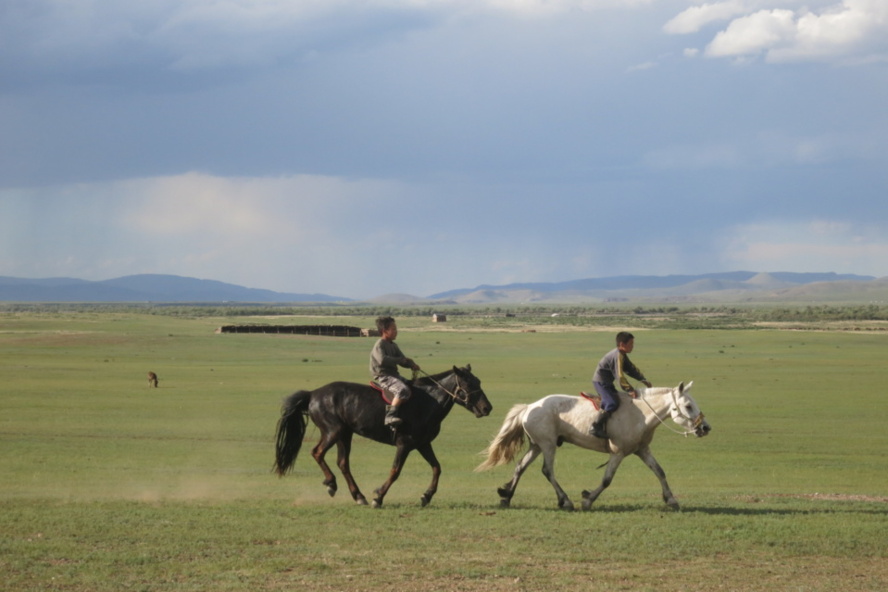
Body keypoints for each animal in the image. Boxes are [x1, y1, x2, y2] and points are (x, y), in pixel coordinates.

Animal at [274, 366, 492, 508]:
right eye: (467, 383)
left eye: (479, 381)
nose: (487, 408)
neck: (427, 402)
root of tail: (313, 394)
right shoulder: (404, 444)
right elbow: (395, 471)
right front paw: (378, 497)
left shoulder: (423, 444)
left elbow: (437, 468)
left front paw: (426, 496)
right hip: (332, 432)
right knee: (317, 452)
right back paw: (332, 484)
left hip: (345, 434)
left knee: (343, 463)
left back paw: (358, 496)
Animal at [476, 382, 712, 512]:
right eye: (688, 406)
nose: (705, 428)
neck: (641, 415)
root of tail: (529, 407)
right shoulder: (618, 453)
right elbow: (607, 480)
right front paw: (588, 499)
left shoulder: (642, 450)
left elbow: (660, 472)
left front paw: (671, 500)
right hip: (548, 445)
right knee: (547, 470)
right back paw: (565, 501)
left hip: (537, 445)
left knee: (520, 467)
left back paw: (507, 496)